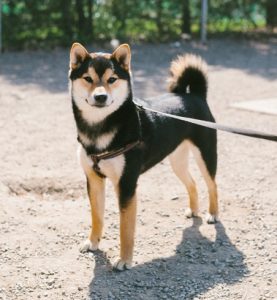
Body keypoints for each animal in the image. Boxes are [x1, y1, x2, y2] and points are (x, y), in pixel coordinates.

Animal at [68, 43, 217, 270]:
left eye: (112, 79)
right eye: (88, 78)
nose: (101, 97)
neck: (99, 130)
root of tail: (196, 95)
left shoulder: (126, 183)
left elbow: (125, 228)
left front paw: (124, 260)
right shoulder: (93, 180)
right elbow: (97, 216)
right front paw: (93, 242)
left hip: (206, 155)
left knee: (212, 185)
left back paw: (213, 214)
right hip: (177, 161)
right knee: (192, 183)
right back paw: (193, 210)